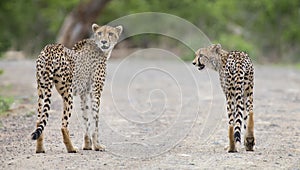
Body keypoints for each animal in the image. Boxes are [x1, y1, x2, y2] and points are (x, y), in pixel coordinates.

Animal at [31, 23, 122, 153]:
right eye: (99, 33)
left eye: (110, 33)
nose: (104, 41)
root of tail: (50, 47)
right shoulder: (96, 92)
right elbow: (95, 119)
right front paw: (97, 146)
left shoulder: (84, 94)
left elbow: (86, 118)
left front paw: (87, 145)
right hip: (67, 93)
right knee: (63, 125)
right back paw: (71, 148)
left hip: (42, 89)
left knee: (39, 120)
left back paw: (40, 148)